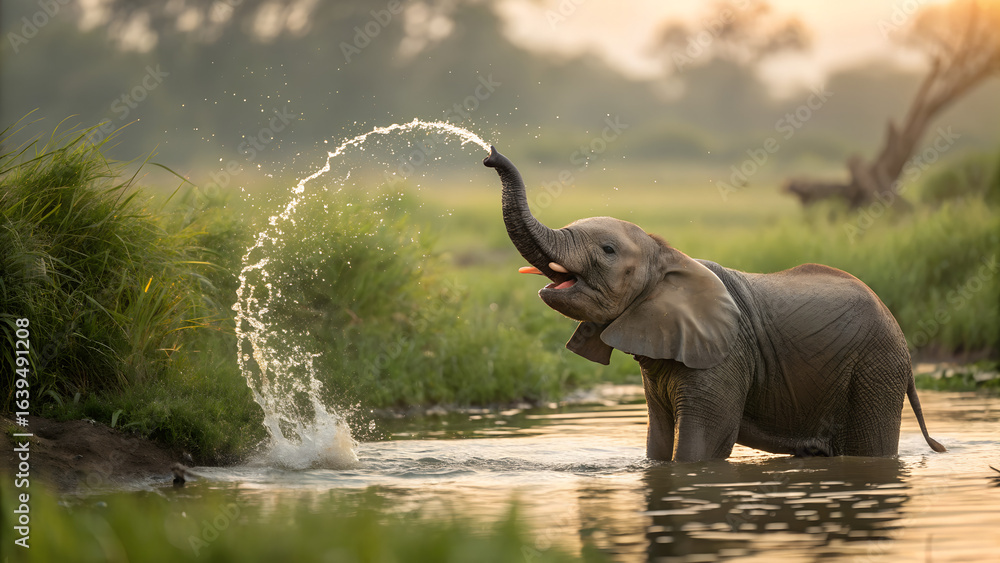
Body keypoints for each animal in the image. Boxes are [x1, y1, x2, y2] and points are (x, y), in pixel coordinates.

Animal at [483, 146, 946, 462]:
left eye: (608, 250)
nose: (490, 156)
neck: (668, 254)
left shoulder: (724, 357)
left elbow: (702, 447)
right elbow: (658, 440)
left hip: (875, 370)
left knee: (870, 449)